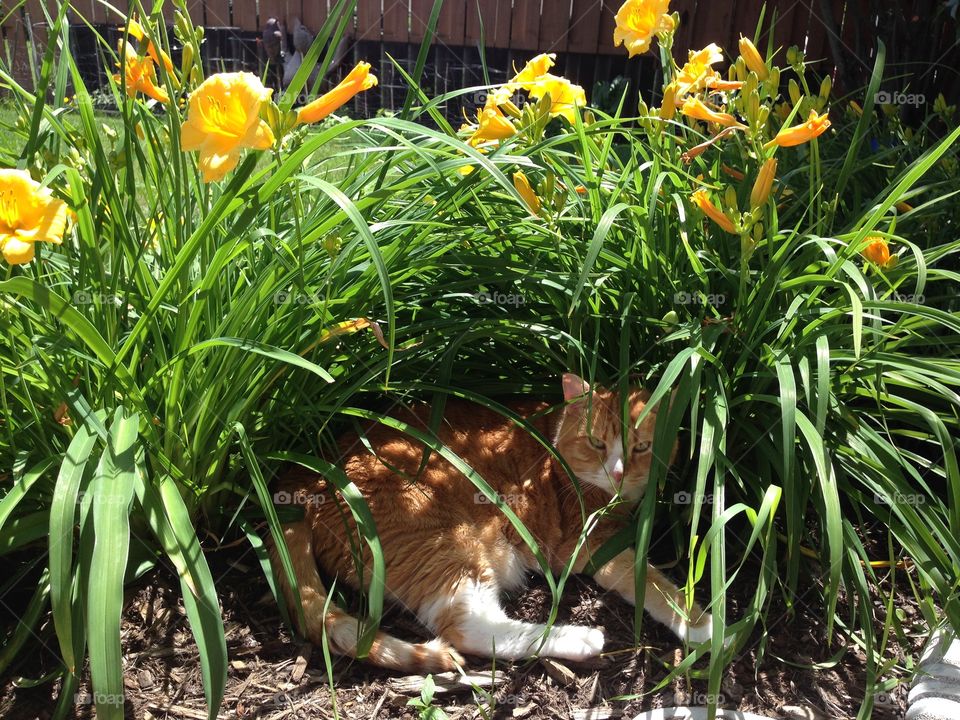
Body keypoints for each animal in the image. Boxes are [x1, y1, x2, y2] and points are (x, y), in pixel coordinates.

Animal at [270, 374, 712, 672]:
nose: (619, 473)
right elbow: (653, 582)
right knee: (469, 629)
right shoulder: (593, 543)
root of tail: (307, 478)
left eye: (643, 447)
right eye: (597, 442)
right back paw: (581, 638)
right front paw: (699, 622)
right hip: (450, 546)